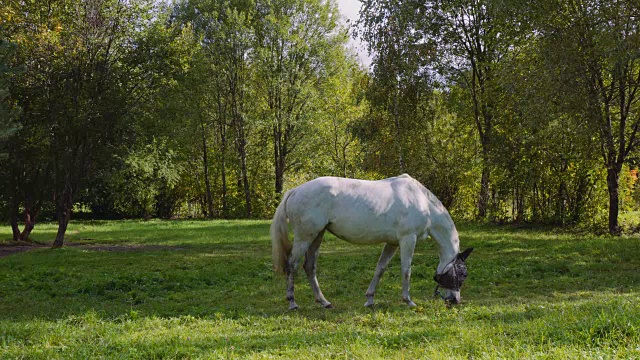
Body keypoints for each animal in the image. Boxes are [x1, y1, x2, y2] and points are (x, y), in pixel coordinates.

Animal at [268, 174, 472, 310]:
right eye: (462, 274)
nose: (454, 301)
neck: (421, 201)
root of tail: (295, 190)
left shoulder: (392, 243)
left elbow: (380, 269)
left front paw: (370, 299)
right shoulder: (408, 239)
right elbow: (406, 270)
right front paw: (408, 301)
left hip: (317, 236)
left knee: (309, 267)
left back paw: (324, 302)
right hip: (305, 237)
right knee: (292, 265)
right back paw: (292, 302)